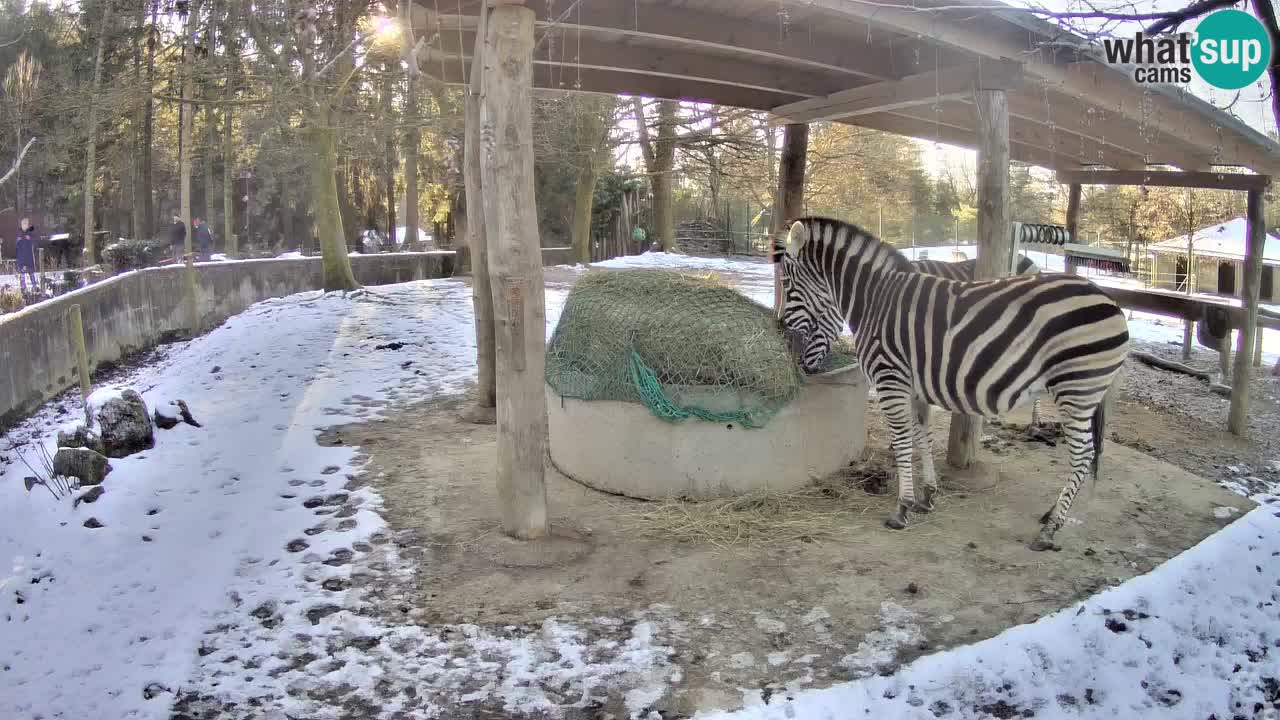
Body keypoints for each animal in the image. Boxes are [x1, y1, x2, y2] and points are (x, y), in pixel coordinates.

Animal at [768, 215, 1131, 545]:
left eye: (787, 283)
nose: (781, 333)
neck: (875, 299)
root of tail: (1112, 303)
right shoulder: (914, 385)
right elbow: (922, 435)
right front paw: (928, 495)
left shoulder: (890, 379)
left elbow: (903, 441)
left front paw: (902, 508)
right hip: (1085, 393)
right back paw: (1049, 514)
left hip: (1076, 390)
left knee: (1083, 455)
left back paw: (1050, 528)